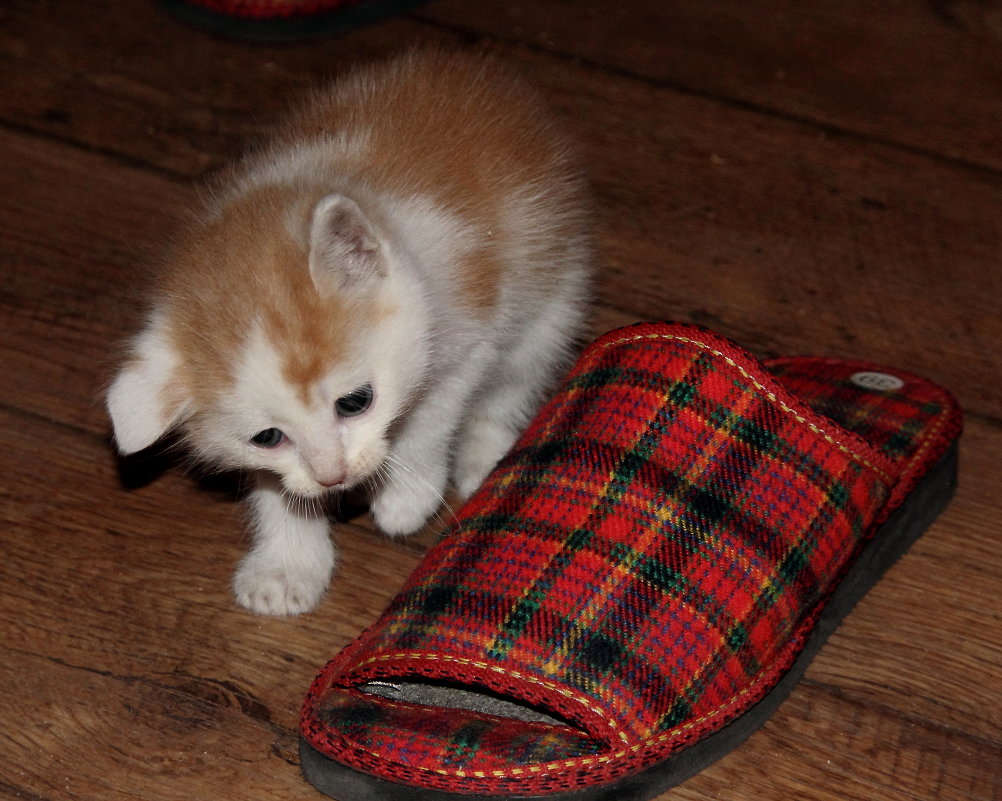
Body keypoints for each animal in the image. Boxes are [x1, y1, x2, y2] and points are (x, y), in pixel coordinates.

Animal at [107, 48, 593, 613]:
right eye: (267, 437)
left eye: (355, 402)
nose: (334, 476)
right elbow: (279, 485)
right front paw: (287, 563)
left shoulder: (470, 336)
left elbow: (429, 417)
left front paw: (408, 497)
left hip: (554, 300)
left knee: (517, 379)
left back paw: (488, 461)